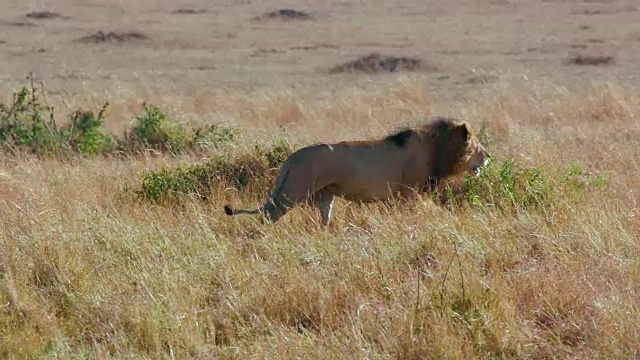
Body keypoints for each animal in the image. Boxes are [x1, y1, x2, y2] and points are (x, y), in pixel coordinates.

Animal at [222, 117, 488, 225]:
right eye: (477, 146)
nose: (488, 158)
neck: (439, 149)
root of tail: (292, 157)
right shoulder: (409, 193)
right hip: (293, 191)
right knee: (269, 215)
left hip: (324, 195)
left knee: (324, 219)